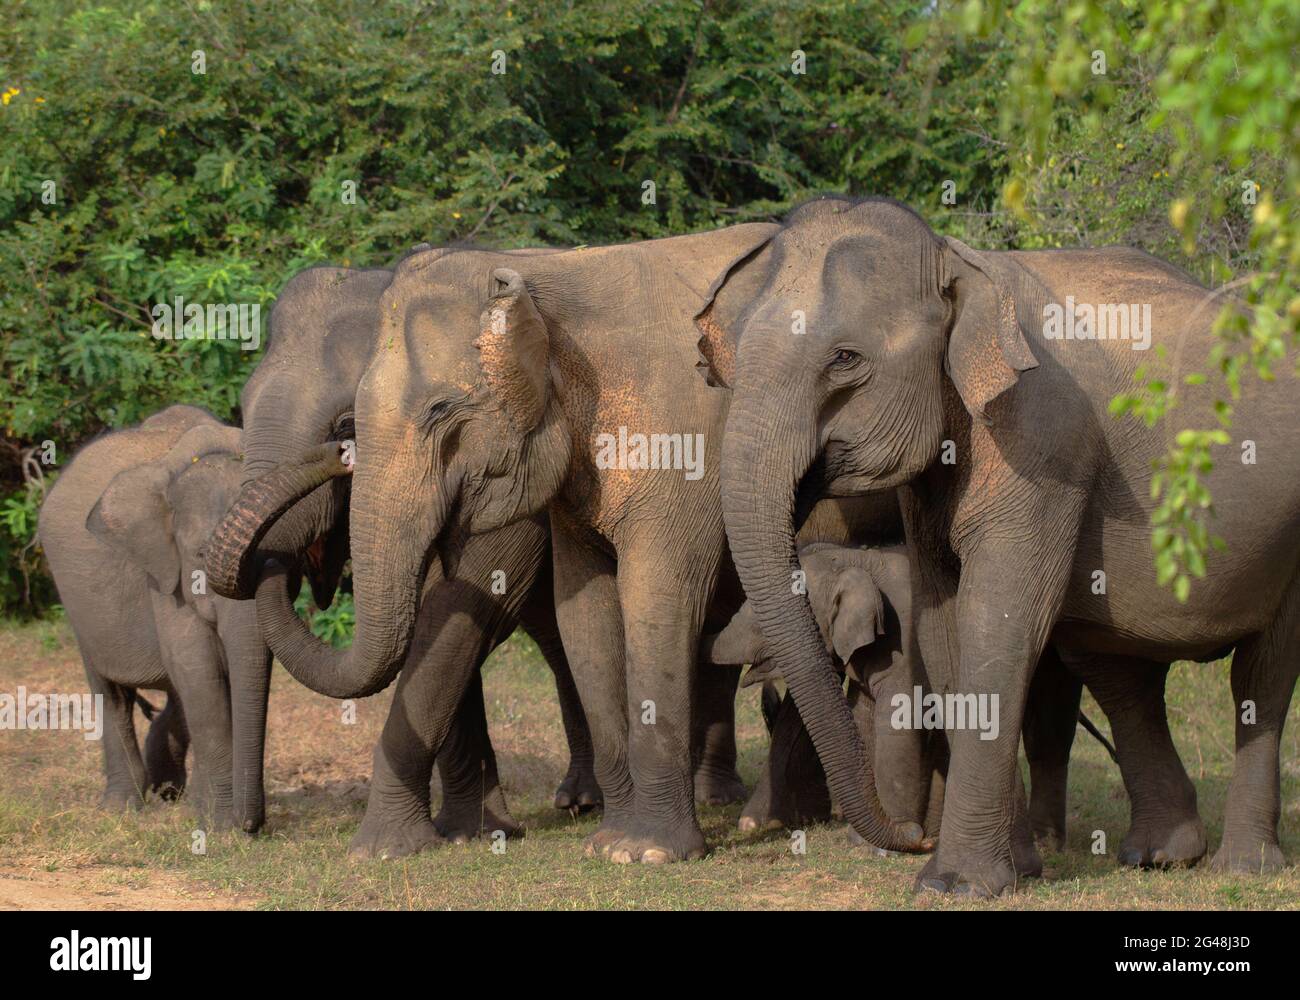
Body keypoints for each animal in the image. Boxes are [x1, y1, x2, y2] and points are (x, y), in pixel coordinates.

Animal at [38, 406, 271, 831]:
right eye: (200, 556)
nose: (251, 825)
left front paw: (208, 813)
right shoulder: (164, 573)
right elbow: (199, 670)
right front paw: (219, 824)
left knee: (174, 697)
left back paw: (169, 792)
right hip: (78, 609)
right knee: (111, 693)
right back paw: (122, 807)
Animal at [205, 223, 897, 865]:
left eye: (344, 423)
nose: (335, 457)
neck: (552, 285)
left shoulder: (675, 445)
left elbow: (510, 603)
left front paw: (641, 851)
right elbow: (552, 609)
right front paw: (467, 838)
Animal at [704, 195, 1300, 894]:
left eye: (845, 359)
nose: (912, 835)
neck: (957, 261)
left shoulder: (1042, 443)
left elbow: (1000, 619)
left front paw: (953, 884)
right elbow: (944, 625)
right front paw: (1014, 871)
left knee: (1260, 677)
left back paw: (1246, 866)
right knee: (1122, 676)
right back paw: (1161, 854)